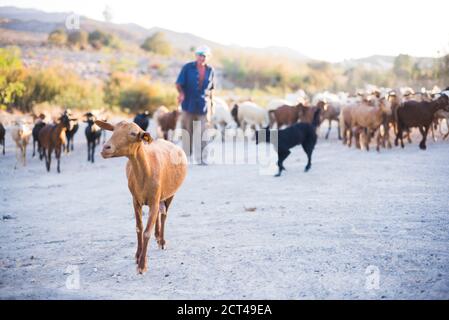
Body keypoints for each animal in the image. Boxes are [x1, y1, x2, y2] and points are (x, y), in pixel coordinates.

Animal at [93, 120, 186, 276]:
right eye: (113, 129)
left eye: (133, 133)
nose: (106, 148)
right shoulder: (135, 200)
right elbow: (139, 228)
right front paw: (137, 256)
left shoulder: (154, 200)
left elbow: (146, 232)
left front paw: (142, 266)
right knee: (159, 215)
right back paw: (157, 236)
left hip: (170, 194)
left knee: (164, 215)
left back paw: (162, 241)